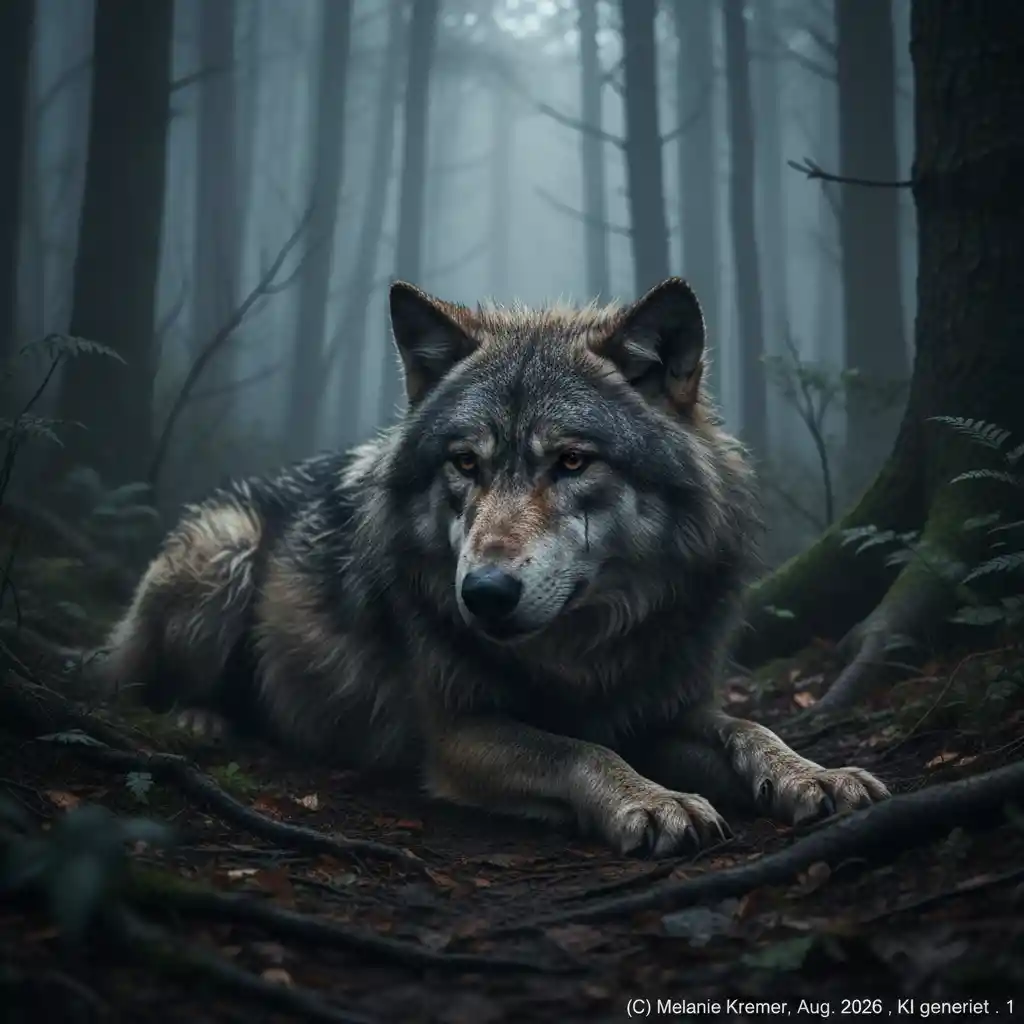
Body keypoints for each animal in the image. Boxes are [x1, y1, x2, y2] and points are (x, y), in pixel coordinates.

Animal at [103, 277, 888, 856]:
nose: (483, 593)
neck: (582, 655)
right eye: (465, 464)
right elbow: (578, 751)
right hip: (224, 553)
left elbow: (752, 730)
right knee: (139, 686)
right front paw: (651, 799)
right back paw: (202, 718)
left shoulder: (663, 709)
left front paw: (815, 774)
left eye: (571, 461)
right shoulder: (460, 734)